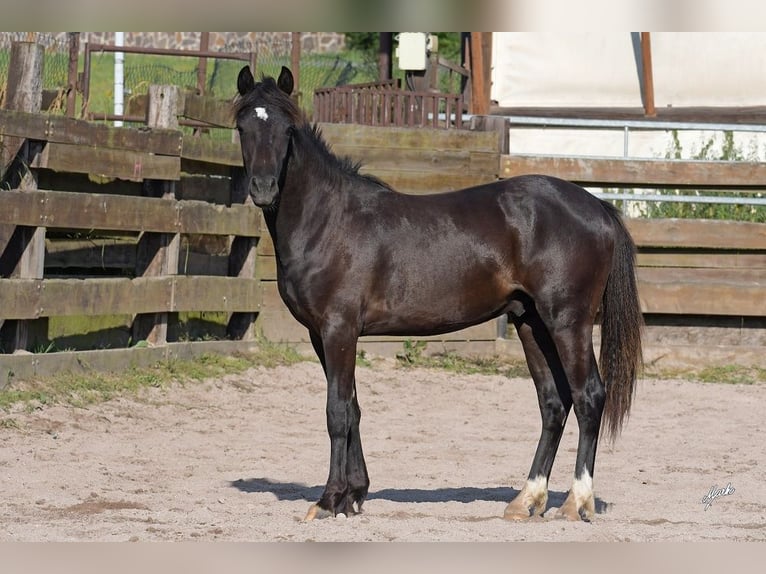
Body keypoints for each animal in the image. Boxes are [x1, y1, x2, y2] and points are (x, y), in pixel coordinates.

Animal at [234, 66, 640, 520]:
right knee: (553, 403)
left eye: (287, 130)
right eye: (242, 126)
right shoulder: (321, 336)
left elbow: (336, 412)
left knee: (589, 397)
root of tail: (597, 207)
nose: (264, 188)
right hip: (531, 322)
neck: (327, 220)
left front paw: (328, 500)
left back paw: (577, 502)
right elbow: (353, 408)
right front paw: (354, 495)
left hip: (568, 321)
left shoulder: (339, 330)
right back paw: (526, 500)